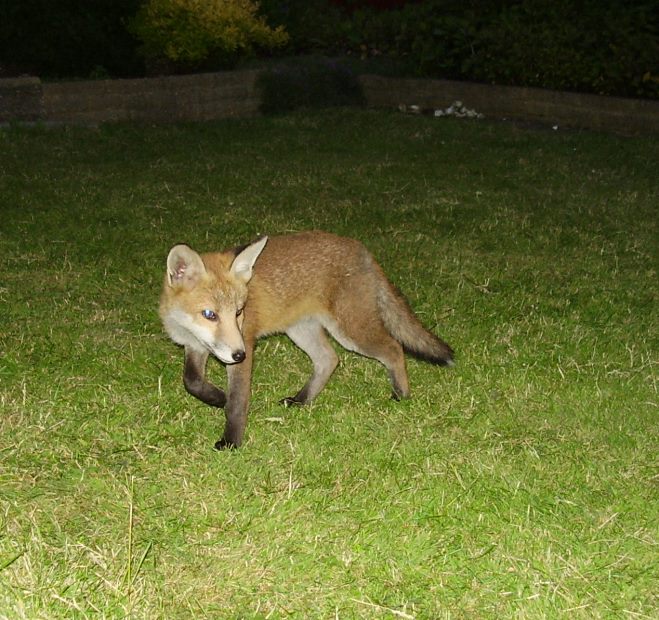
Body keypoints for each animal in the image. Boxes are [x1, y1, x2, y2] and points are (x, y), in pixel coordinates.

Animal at [160, 230, 454, 448]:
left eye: (239, 312)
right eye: (210, 314)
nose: (239, 355)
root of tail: (361, 249)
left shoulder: (245, 344)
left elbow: (237, 402)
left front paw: (231, 440)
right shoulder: (195, 347)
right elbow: (191, 381)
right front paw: (216, 398)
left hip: (350, 331)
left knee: (394, 348)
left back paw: (401, 394)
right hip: (301, 331)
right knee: (329, 360)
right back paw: (302, 400)